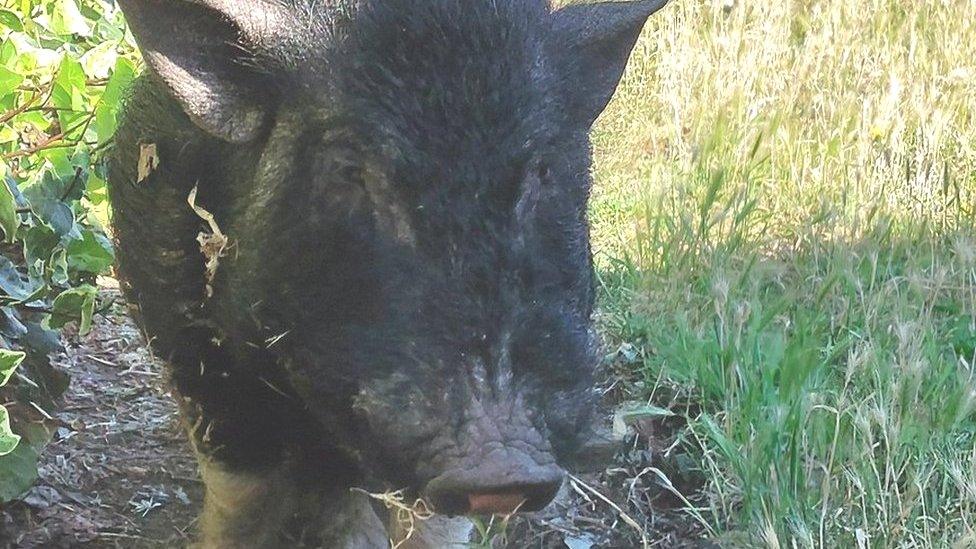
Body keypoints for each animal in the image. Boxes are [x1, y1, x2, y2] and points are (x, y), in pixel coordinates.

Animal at [108, 0, 672, 544]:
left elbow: (429, 522)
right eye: (349, 168)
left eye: (543, 169)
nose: (503, 463)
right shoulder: (192, 350)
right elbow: (242, 493)